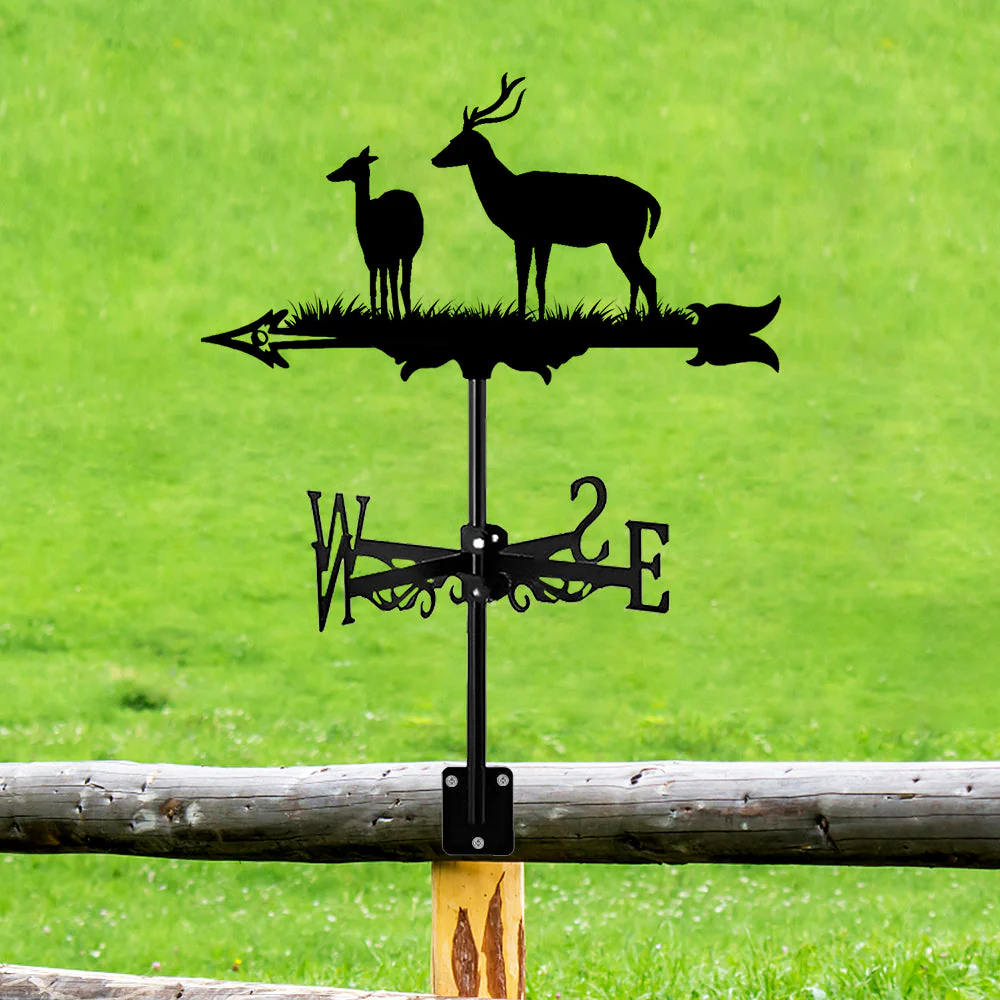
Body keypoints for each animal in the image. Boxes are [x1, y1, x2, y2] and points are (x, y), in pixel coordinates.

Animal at [326, 147, 423, 319]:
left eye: (348, 165)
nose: (330, 175)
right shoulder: (372, 258)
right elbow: (376, 288)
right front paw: (379, 313)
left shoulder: (382, 256)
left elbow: (382, 287)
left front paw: (385, 314)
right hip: (401, 254)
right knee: (399, 284)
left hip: (403, 252)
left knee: (400, 284)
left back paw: (401, 313)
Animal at [432, 74, 660, 320]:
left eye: (455, 141)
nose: (435, 159)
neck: (505, 191)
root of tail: (648, 198)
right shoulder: (543, 239)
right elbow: (539, 281)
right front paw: (538, 315)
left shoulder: (523, 234)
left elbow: (523, 281)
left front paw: (524, 316)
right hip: (626, 243)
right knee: (636, 279)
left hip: (625, 240)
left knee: (648, 279)